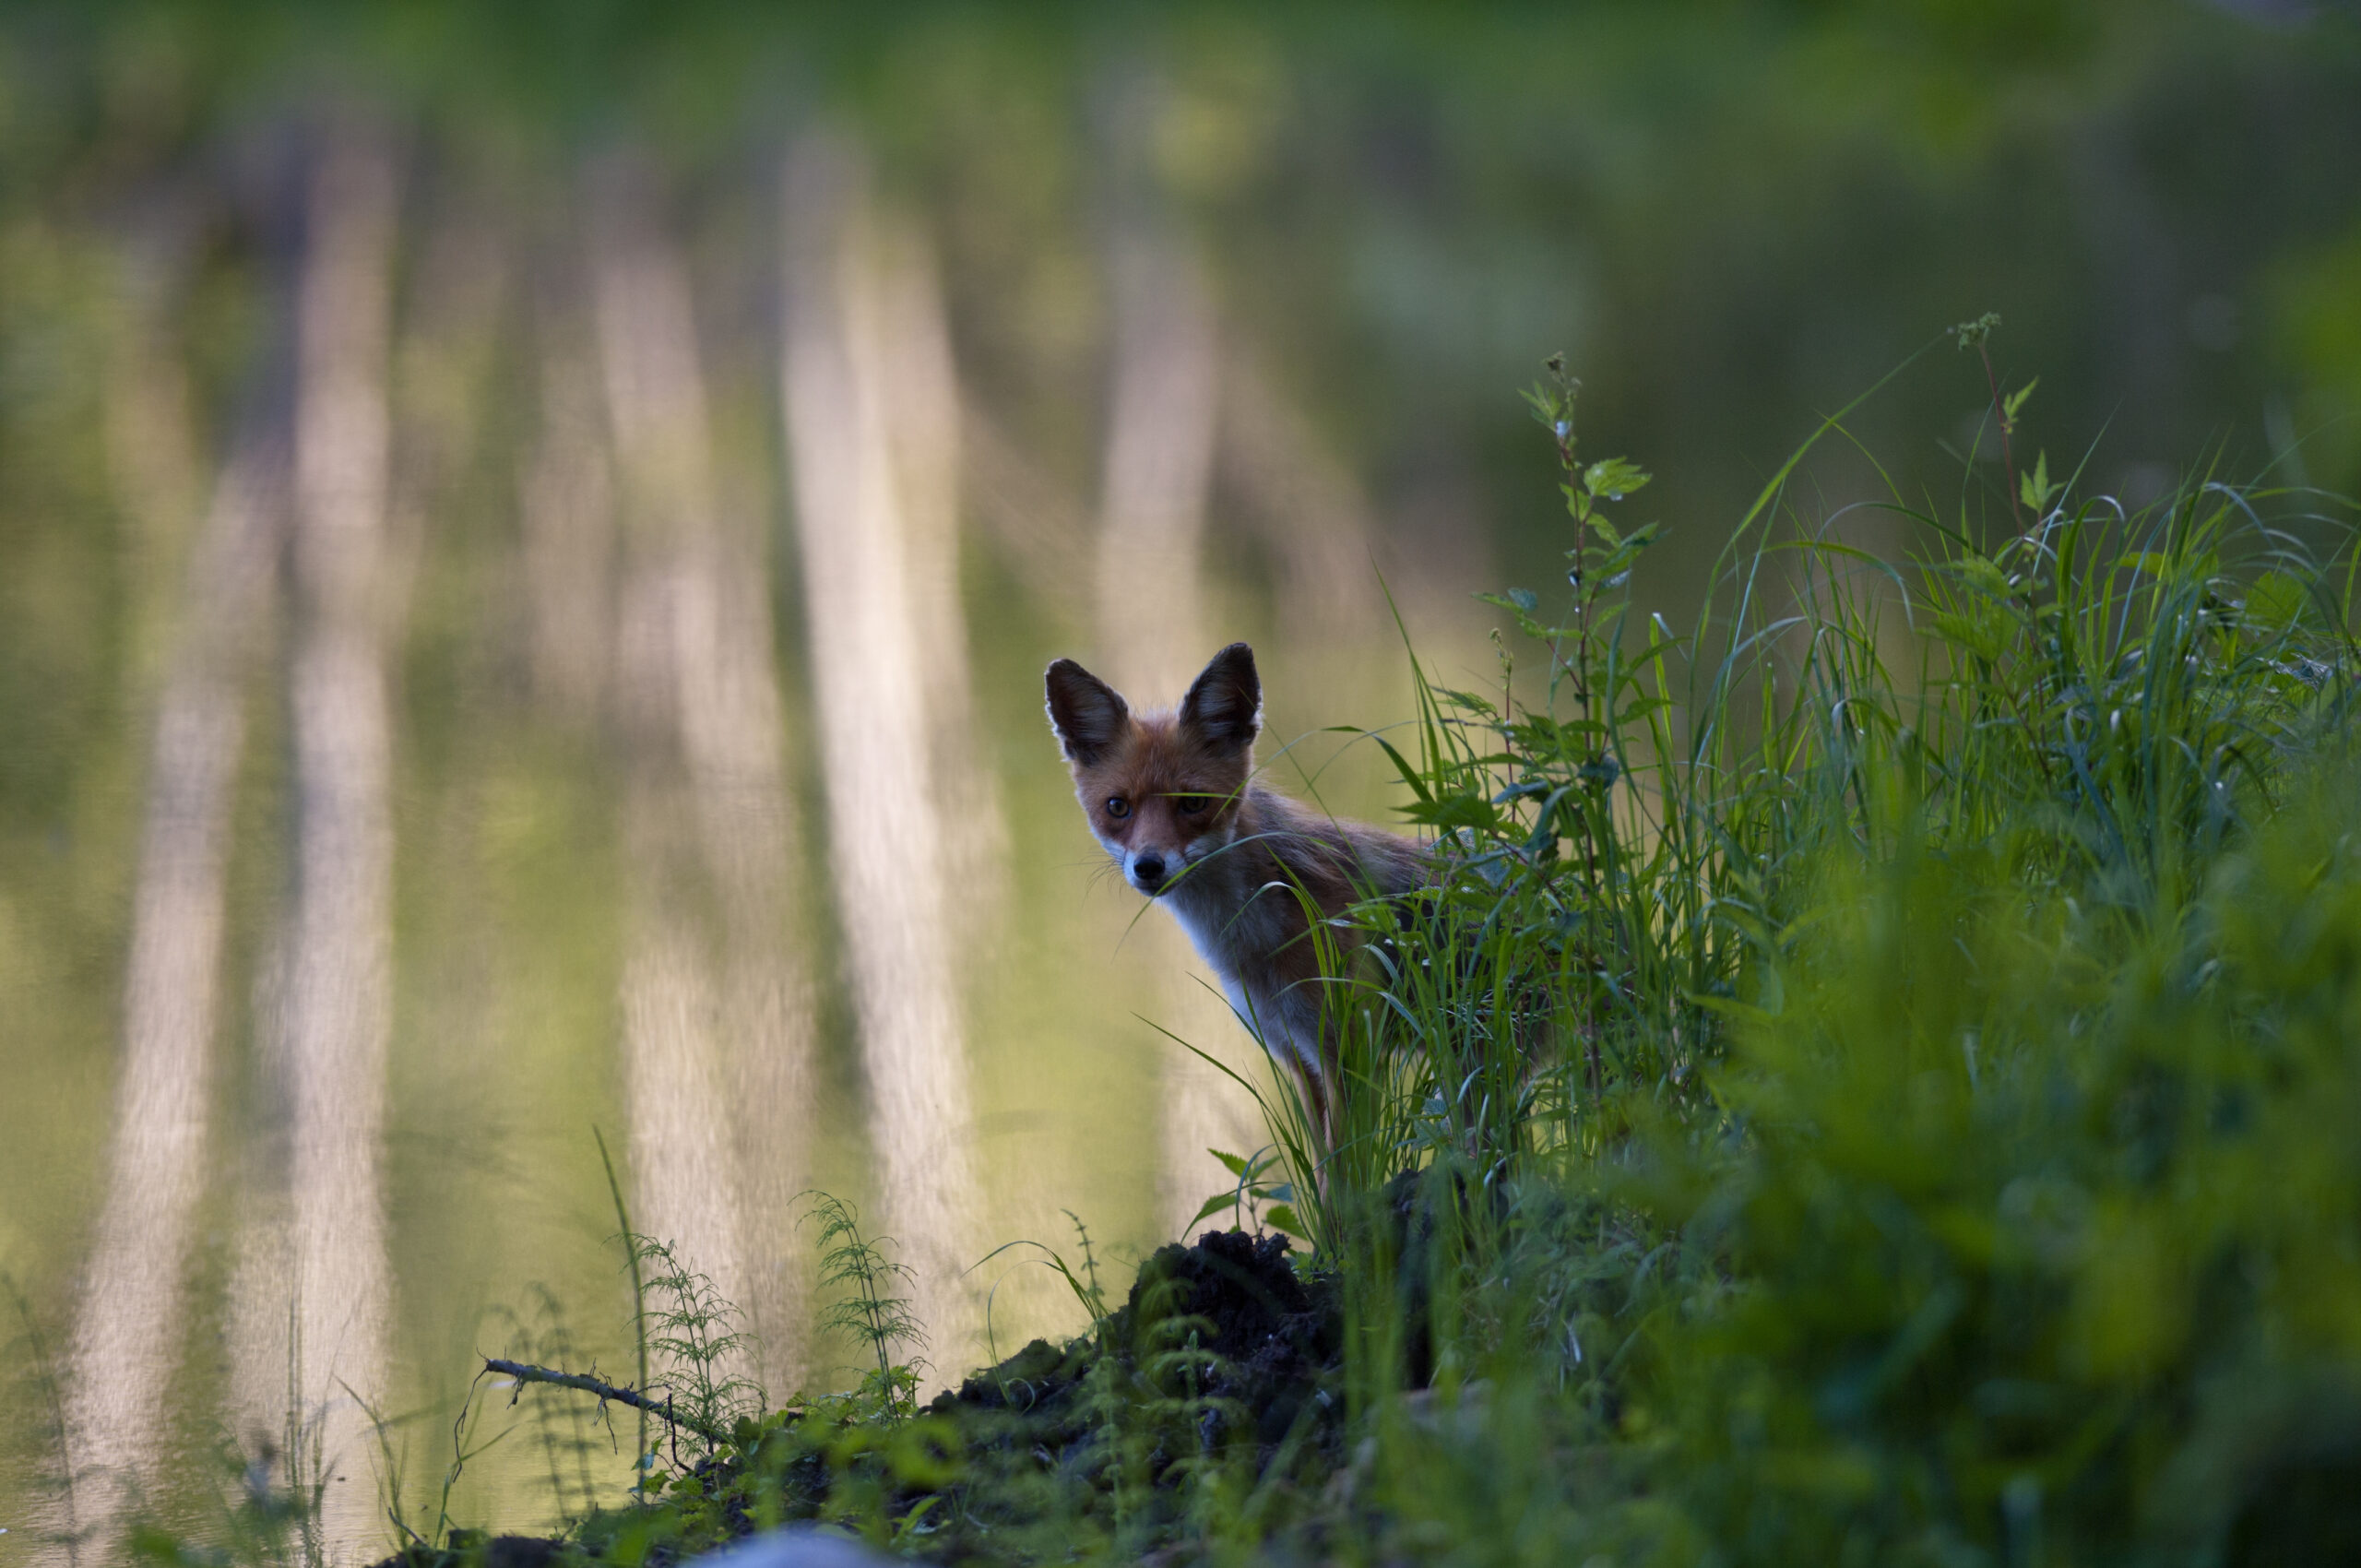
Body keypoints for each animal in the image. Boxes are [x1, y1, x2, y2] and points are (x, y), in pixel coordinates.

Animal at [1044, 642, 1430, 1150]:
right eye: (1117, 807)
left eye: (1193, 802)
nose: (1148, 866)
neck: (1258, 947)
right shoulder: (1299, 1058)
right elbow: (1324, 1167)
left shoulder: (1348, 1054)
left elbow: (1348, 1168)